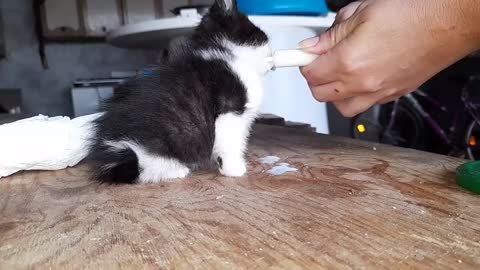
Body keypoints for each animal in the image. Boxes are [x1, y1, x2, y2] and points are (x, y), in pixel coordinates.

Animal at [88, 0, 272, 184]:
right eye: (260, 34)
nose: (270, 47)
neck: (226, 53)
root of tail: (114, 153)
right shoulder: (229, 109)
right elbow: (230, 142)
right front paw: (232, 168)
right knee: (143, 169)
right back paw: (177, 170)